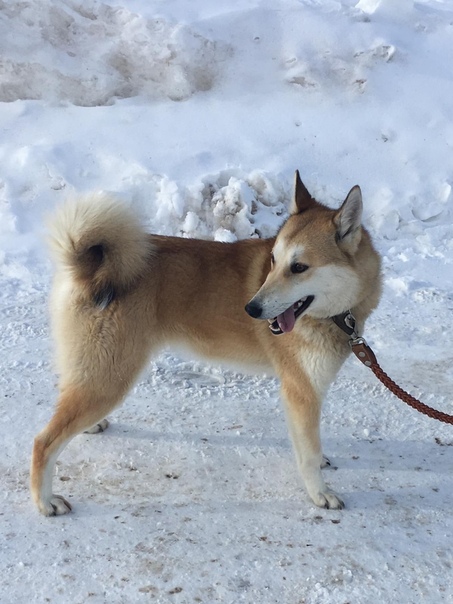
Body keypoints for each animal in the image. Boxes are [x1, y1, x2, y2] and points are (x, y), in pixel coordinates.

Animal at [30, 171, 381, 515]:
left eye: (299, 267)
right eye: (273, 260)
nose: (251, 309)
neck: (337, 314)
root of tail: (89, 267)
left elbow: (310, 444)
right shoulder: (302, 392)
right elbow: (307, 454)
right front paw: (319, 493)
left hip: (95, 373)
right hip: (110, 379)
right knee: (44, 442)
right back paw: (45, 501)